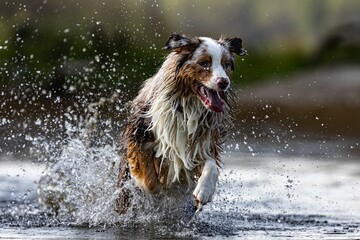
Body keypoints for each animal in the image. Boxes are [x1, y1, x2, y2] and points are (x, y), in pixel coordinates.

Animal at [116, 32, 246, 214]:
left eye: (226, 64)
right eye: (203, 63)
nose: (224, 82)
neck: (186, 107)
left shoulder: (202, 144)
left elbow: (211, 164)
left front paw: (204, 191)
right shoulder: (139, 134)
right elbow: (151, 181)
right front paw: (150, 183)